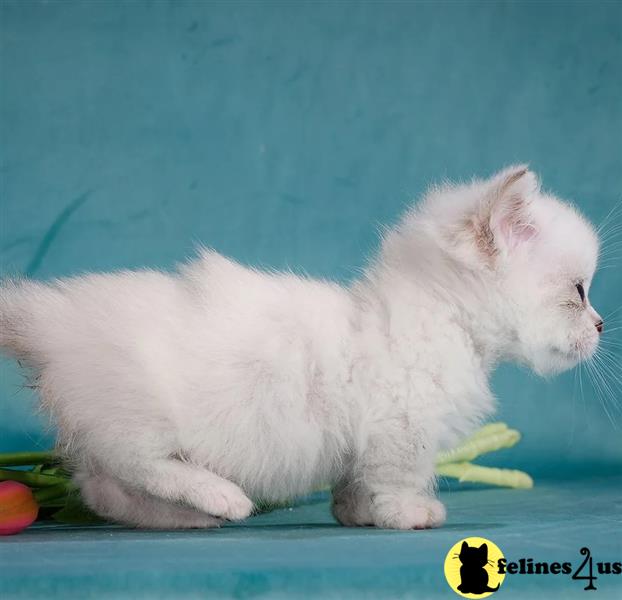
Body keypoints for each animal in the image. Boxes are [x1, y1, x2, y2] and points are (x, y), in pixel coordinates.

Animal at [0, 166, 604, 528]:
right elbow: (400, 476)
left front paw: (357, 514)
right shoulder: (400, 427)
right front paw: (410, 514)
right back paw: (223, 498)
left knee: (101, 489)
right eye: (579, 292)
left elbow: (356, 481)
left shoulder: (364, 441)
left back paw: (189, 516)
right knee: (136, 465)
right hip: (138, 415)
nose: (601, 325)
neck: (438, 320)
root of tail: (52, 314)